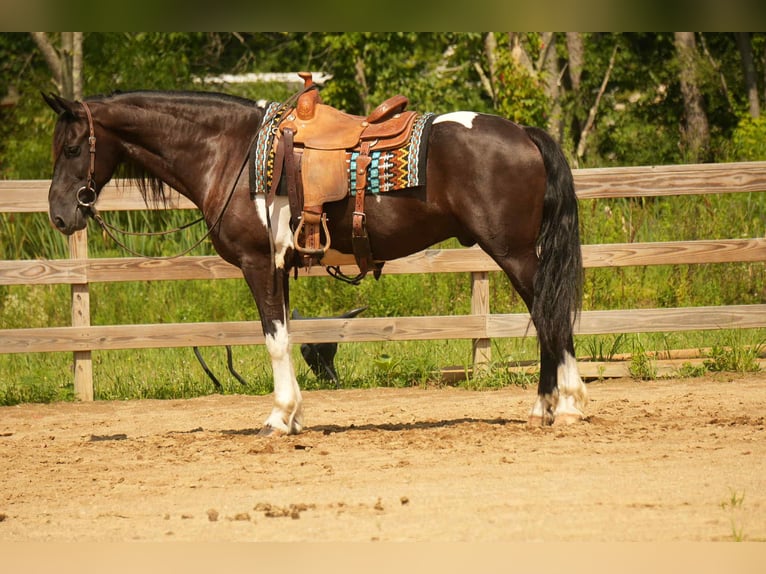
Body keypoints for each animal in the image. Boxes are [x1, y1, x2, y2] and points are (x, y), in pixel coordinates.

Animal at [42, 89, 587, 435]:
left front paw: (278, 418)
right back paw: (543, 408)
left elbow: (274, 340)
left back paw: (567, 406)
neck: (230, 153)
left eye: (72, 147)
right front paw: (296, 415)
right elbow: (286, 336)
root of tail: (523, 134)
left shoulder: (258, 265)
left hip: (513, 253)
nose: (60, 214)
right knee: (545, 317)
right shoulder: (280, 268)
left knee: (549, 316)